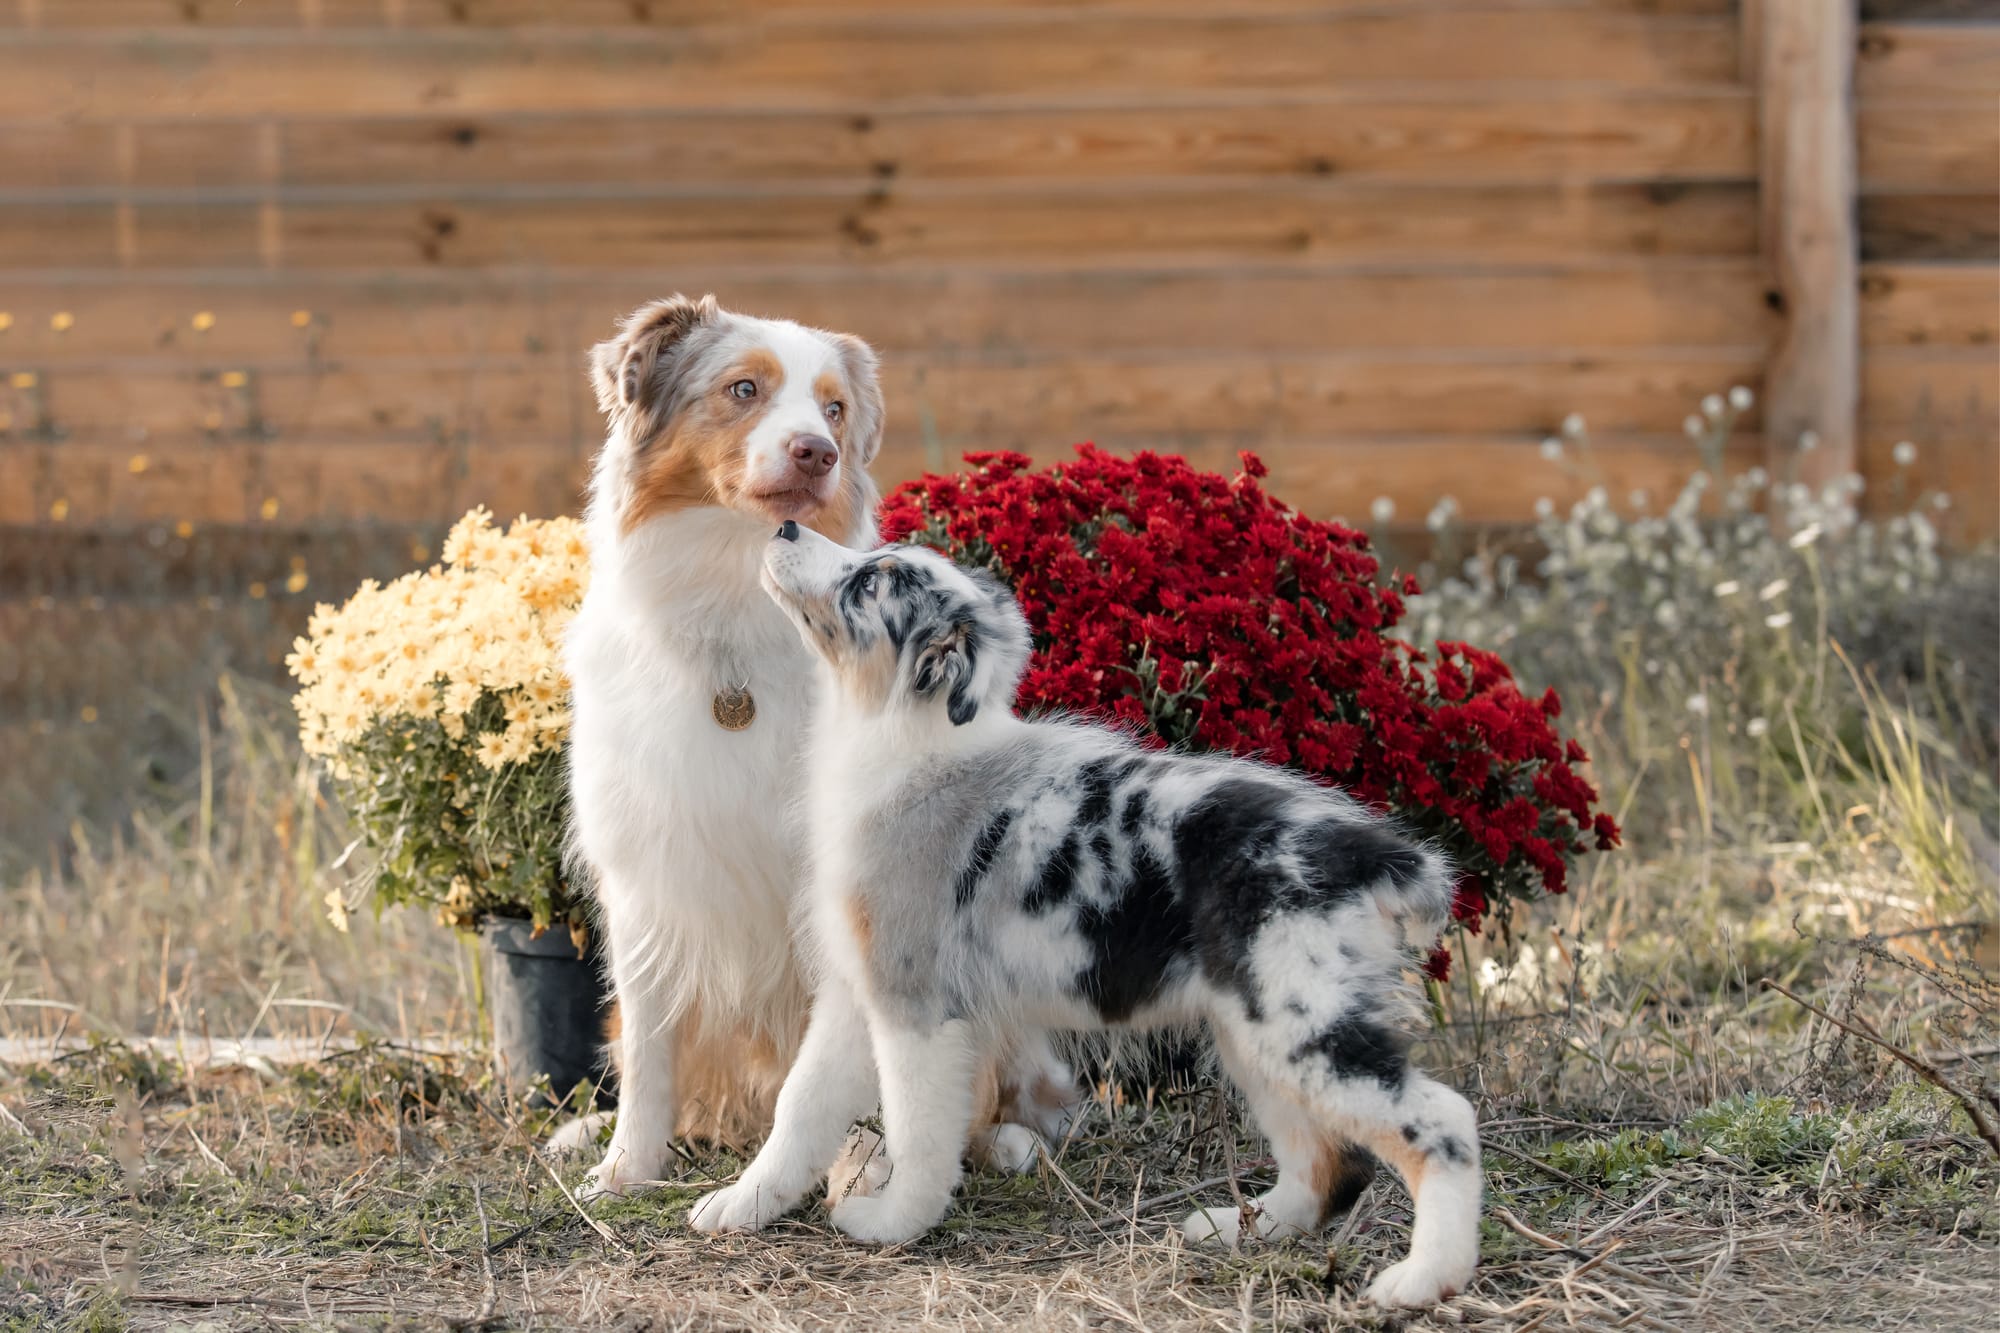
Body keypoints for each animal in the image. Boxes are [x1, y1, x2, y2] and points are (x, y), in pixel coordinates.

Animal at [560, 298, 1080, 1192]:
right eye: (743, 388)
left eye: (834, 408)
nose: (818, 451)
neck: (733, 626)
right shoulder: (647, 877)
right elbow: (654, 1052)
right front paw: (627, 1168)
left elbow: (838, 1065)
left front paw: (858, 1162)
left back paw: (1006, 1141)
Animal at [692, 520, 1488, 1304]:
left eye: (870, 583)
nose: (786, 524)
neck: (904, 743)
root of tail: (1371, 852)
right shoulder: (857, 995)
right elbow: (801, 1105)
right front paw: (741, 1205)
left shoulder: (916, 1005)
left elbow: (917, 1131)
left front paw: (894, 1224)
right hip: (1255, 1033)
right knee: (1325, 1163)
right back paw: (1240, 1227)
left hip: (1305, 1023)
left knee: (1443, 1121)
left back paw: (1425, 1279)